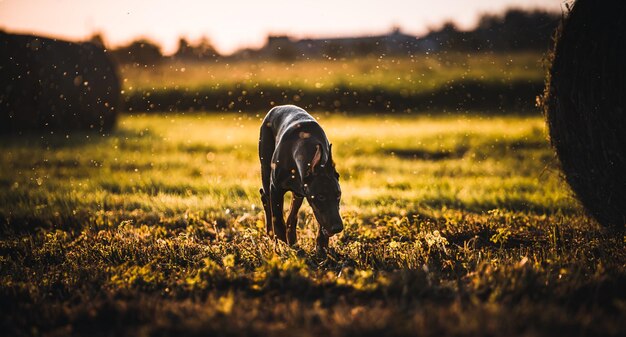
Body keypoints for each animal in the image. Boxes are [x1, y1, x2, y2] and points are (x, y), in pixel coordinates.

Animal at [258, 103, 342, 251]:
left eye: (338, 194)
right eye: (321, 196)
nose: (337, 228)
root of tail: (278, 107)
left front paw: (321, 248)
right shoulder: (275, 188)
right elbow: (277, 218)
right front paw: (282, 243)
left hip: (298, 193)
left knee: (292, 215)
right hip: (266, 168)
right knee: (265, 197)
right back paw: (272, 234)